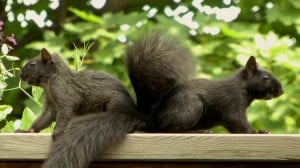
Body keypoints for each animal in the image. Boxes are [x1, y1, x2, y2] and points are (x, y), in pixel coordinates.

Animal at [18, 48, 146, 167]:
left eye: (32, 64)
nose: (20, 74)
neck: (51, 80)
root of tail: (132, 113)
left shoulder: (66, 95)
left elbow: (64, 114)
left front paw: (58, 131)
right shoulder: (50, 105)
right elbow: (44, 119)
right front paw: (28, 131)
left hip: (114, 103)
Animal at [126, 32, 284, 133]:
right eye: (265, 78)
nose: (281, 91)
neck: (242, 87)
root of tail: (154, 119)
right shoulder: (232, 102)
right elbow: (237, 123)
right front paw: (257, 132)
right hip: (191, 105)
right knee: (168, 129)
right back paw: (197, 131)